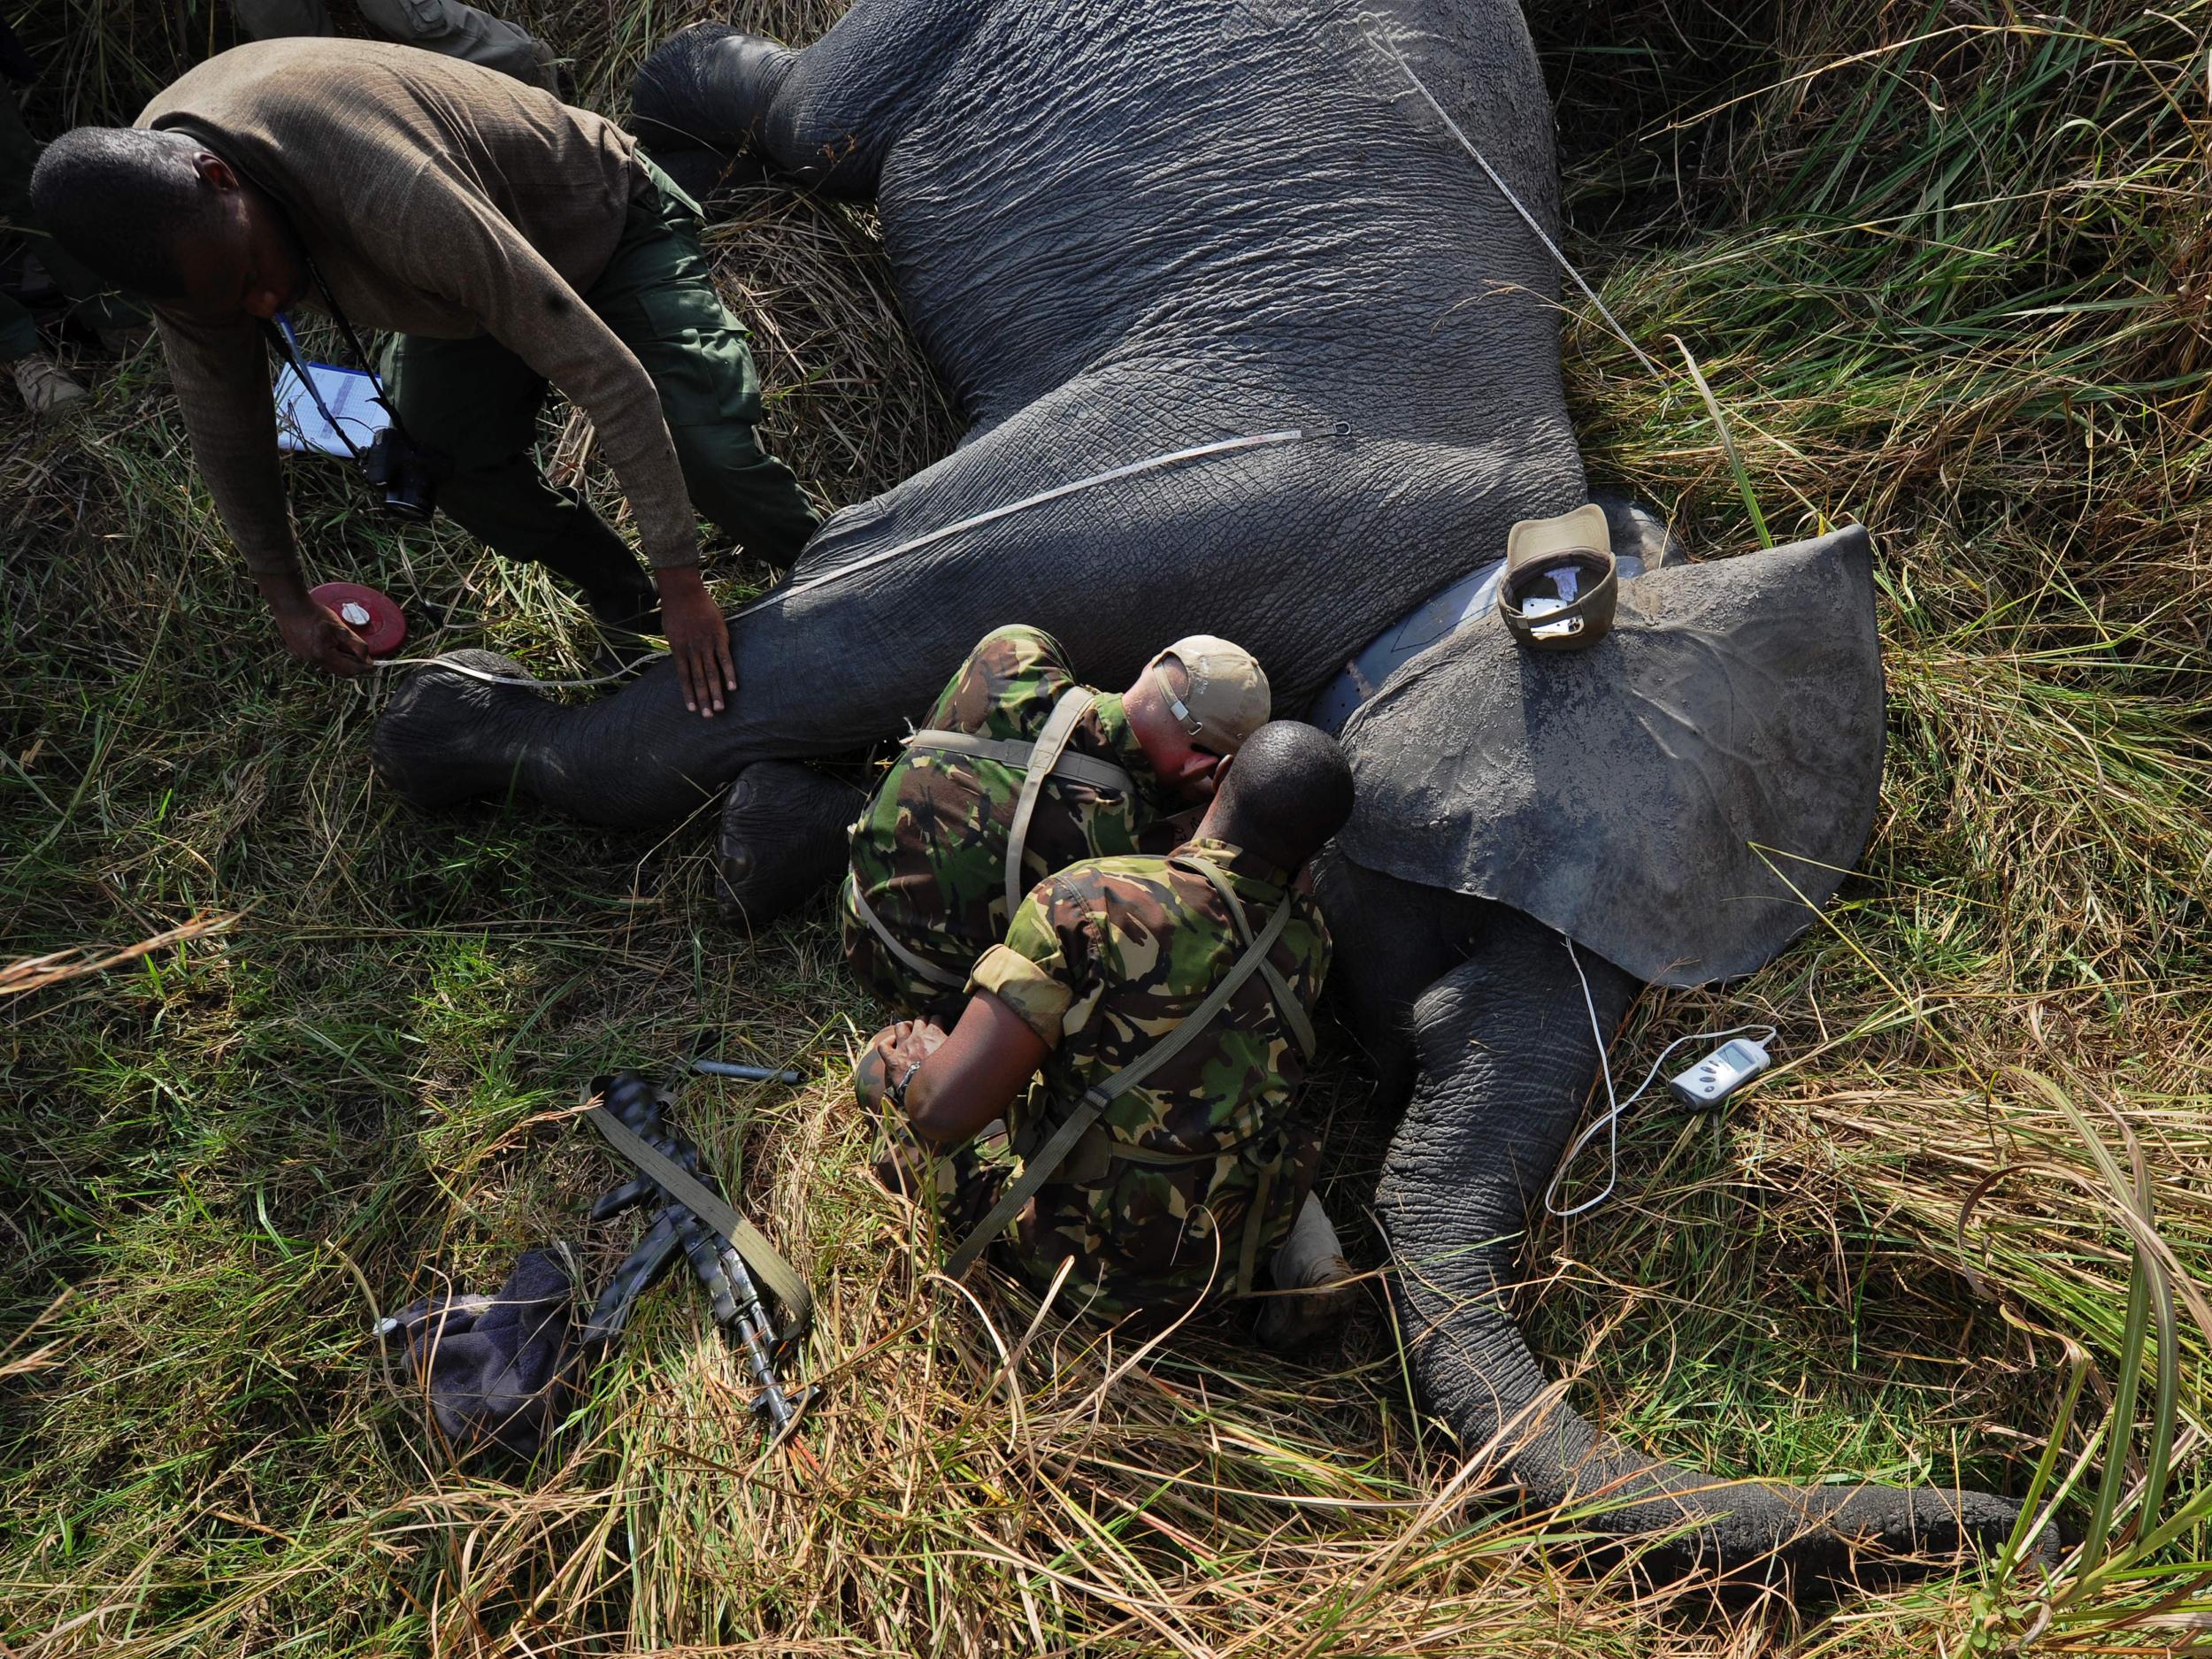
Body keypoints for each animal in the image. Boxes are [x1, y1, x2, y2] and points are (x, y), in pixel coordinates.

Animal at [372, 0, 2044, 1584]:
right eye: (1464, 931)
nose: (2006, 1499)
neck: (1521, 544)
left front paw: (756, 833)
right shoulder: (1198, 498)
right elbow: (849, 607)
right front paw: (436, 730)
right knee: (810, 122)